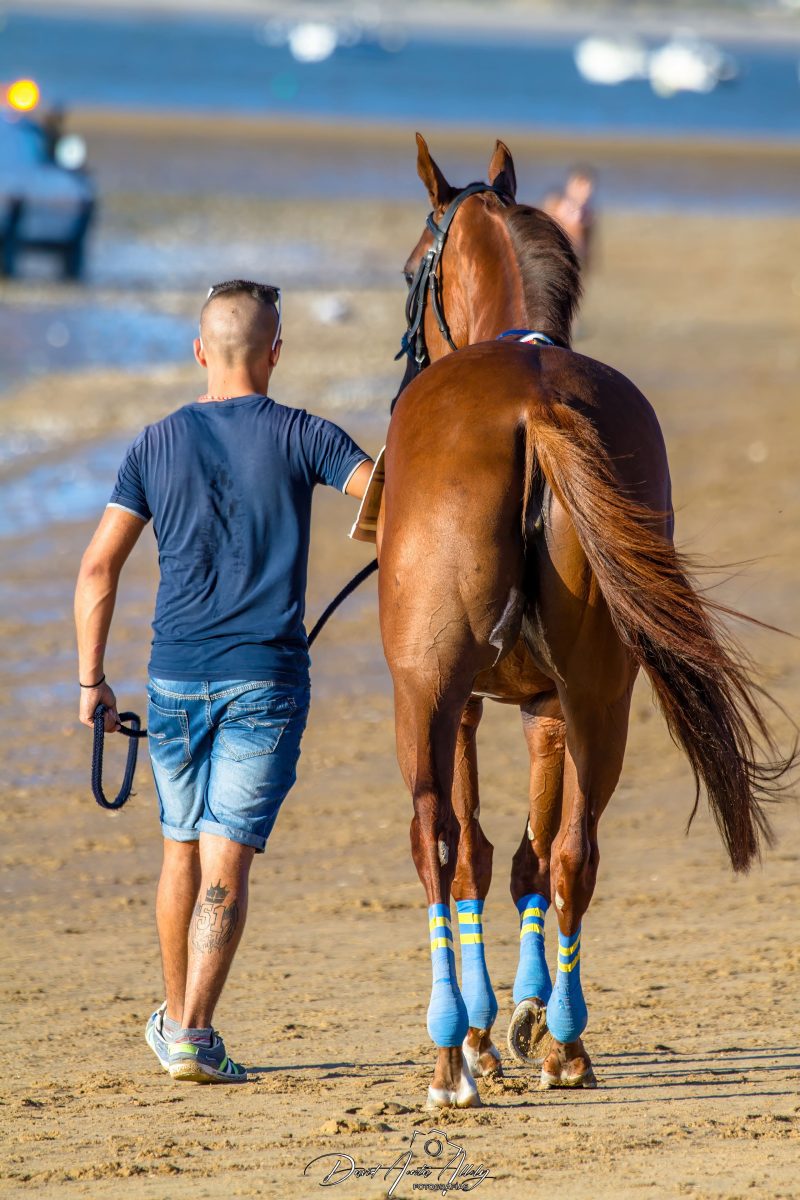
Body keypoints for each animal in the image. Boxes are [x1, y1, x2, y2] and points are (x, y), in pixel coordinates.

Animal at [375, 135, 791, 1109]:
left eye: (411, 269)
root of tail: (535, 410)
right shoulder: (546, 707)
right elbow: (530, 857)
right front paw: (522, 1019)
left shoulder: (470, 703)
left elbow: (477, 853)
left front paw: (485, 1034)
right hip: (603, 697)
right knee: (575, 853)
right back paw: (566, 1043)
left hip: (428, 689)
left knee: (436, 841)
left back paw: (450, 1057)